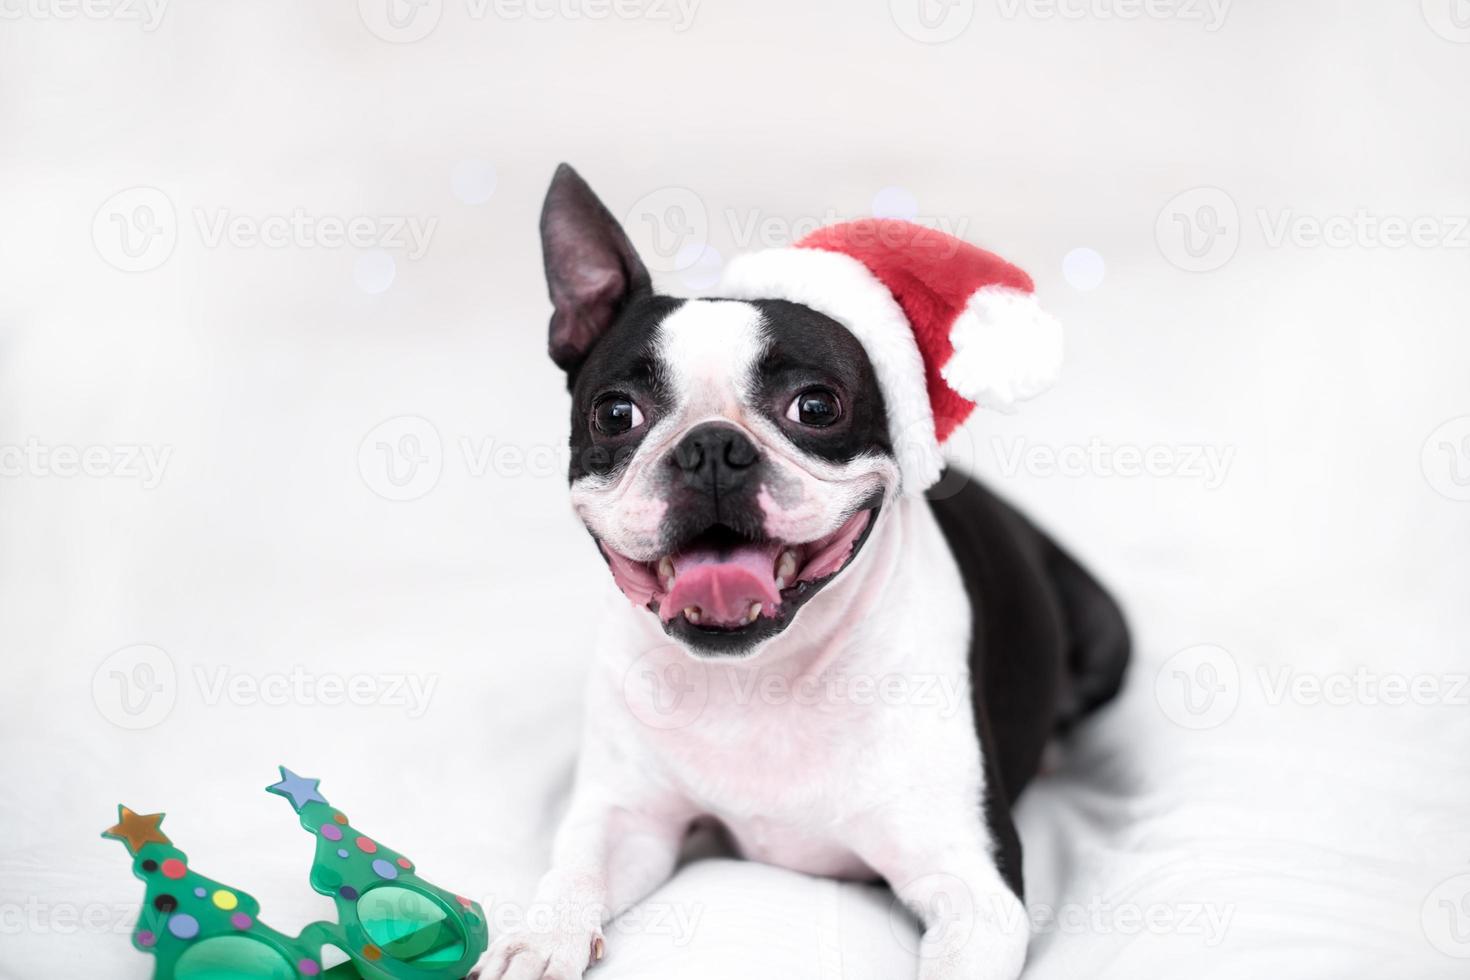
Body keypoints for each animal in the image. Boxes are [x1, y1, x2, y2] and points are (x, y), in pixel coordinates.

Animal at [470, 166, 1123, 980]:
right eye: (615, 414)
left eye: (816, 406)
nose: (711, 448)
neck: (760, 678)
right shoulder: (626, 814)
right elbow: (574, 869)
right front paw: (537, 938)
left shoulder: (973, 886)